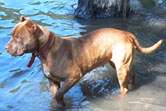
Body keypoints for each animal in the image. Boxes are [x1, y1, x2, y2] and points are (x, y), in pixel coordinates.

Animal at [6, 16, 162, 106]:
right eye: (11, 35)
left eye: (18, 37)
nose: (6, 48)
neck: (46, 48)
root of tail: (126, 33)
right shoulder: (53, 81)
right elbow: (56, 97)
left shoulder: (74, 77)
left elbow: (59, 94)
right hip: (120, 64)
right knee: (132, 75)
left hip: (120, 69)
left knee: (123, 89)